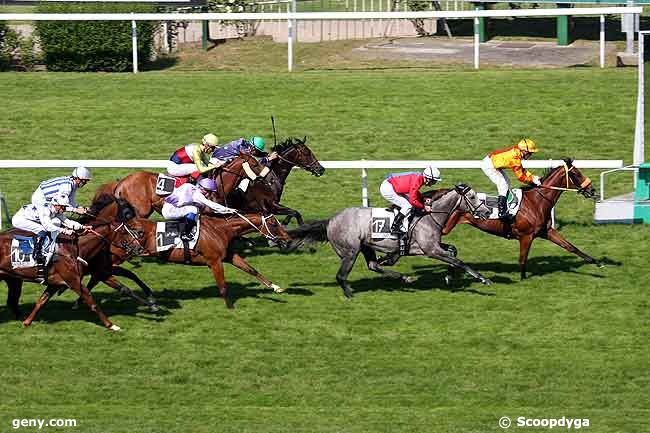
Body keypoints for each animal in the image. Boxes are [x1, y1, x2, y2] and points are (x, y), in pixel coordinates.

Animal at [0, 201, 146, 330]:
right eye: (124, 231)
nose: (140, 246)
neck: (75, 248)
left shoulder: (57, 282)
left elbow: (41, 301)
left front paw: (27, 322)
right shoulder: (75, 281)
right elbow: (92, 302)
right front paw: (111, 325)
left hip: (13, 279)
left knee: (12, 300)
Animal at [288, 184, 492, 298]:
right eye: (472, 197)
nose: (488, 211)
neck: (429, 215)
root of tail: (330, 220)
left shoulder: (428, 247)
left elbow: (453, 251)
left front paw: (449, 276)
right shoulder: (431, 249)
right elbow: (459, 260)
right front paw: (483, 279)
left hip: (366, 246)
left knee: (373, 265)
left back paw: (404, 277)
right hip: (350, 252)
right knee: (341, 275)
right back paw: (349, 295)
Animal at [440, 157, 604, 278]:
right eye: (576, 174)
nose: (592, 190)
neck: (536, 201)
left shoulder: (547, 231)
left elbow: (570, 247)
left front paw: (597, 262)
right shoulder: (526, 236)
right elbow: (522, 259)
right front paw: (523, 278)